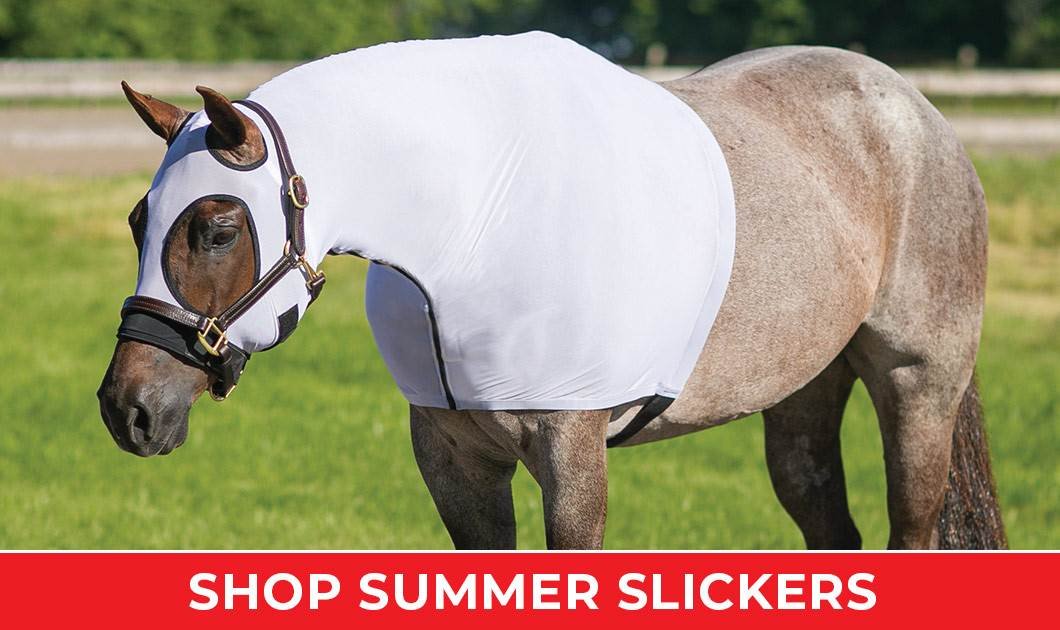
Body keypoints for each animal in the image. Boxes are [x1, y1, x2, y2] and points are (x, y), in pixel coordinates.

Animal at [97, 36, 1006, 550]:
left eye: (217, 226)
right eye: (139, 219)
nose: (127, 409)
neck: (475, 228)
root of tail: (917, 112)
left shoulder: (573, 457)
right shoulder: (453, 461)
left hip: (918, 388)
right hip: (804, 397)